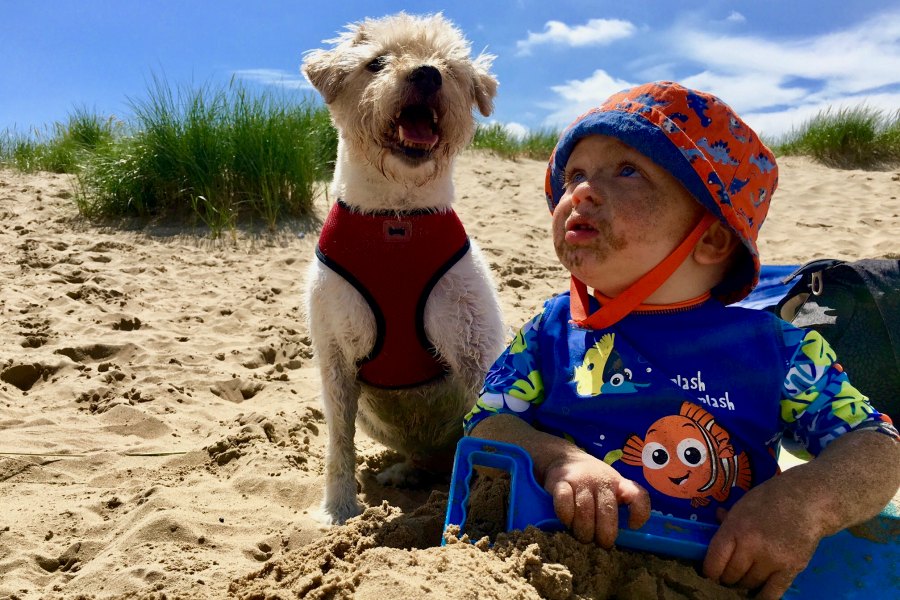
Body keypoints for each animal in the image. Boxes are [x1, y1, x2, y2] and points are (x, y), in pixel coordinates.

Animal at [302, 11, 506, 524]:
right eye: (376, 62)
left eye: (450, 67)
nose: (428, 74)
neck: (396, 218)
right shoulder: (335, 356)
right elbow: (338, 442)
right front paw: (339, 509)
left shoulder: (473, 346)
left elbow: (493, 428)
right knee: (424, 456)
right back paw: (408, 473)